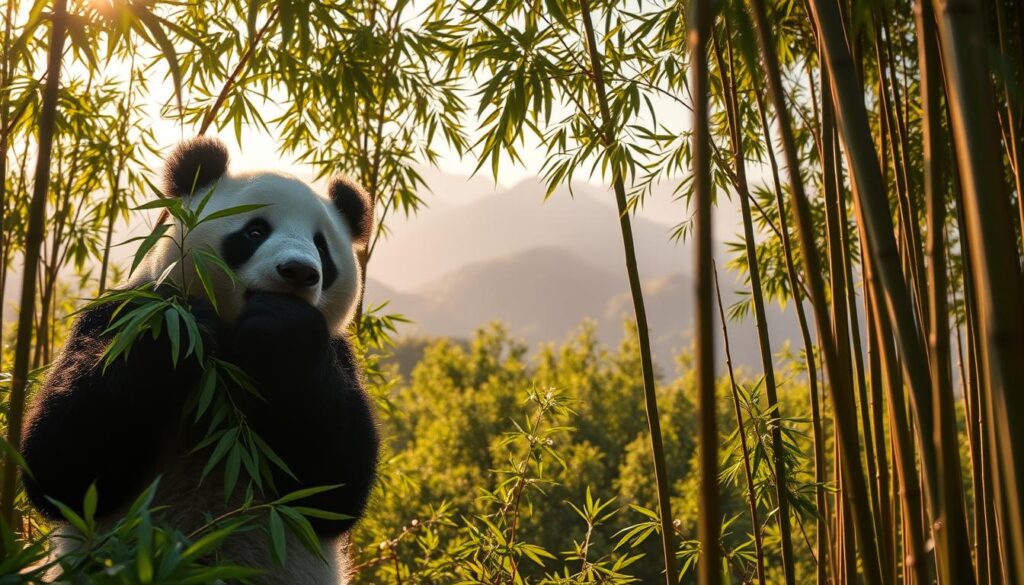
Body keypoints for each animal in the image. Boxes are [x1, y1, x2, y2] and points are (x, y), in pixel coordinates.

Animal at [20, 137, 380, 584]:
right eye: (255, 231)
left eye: (322, 247)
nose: (299, 271)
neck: (229, 356)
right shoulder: (119, 315)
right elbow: (61, 464)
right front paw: (180, 327)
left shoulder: (333, 354)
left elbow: (335, 483)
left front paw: (282, 326)